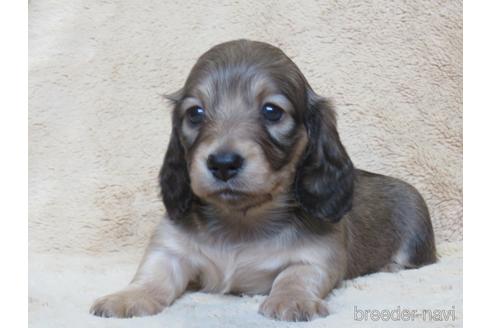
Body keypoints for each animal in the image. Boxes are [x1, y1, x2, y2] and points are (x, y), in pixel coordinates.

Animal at [90, 39, 436, 322]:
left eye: (272, 111)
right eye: (195, 113)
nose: (223, 163)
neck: (240, 224)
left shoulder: (318, 257)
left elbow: (295, 276)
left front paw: (292, 300)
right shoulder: (169, 250)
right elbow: (153, 275)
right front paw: (128, 297)